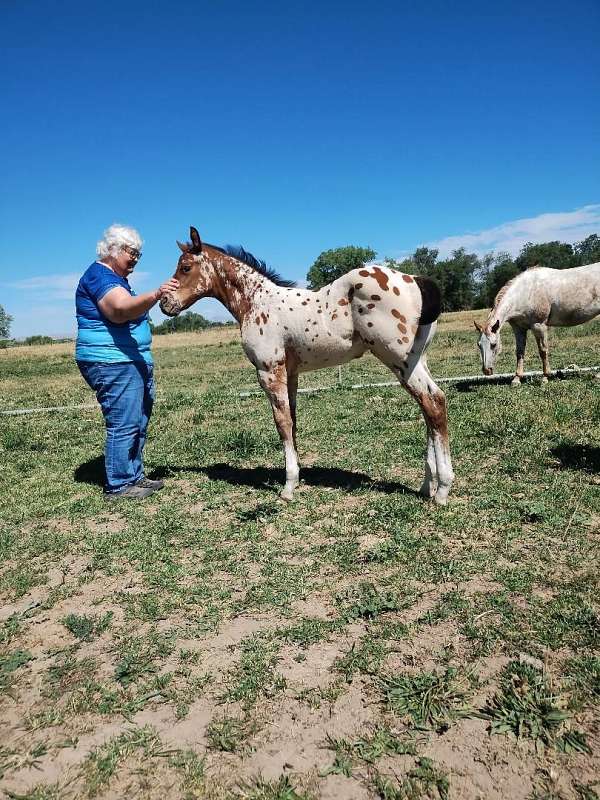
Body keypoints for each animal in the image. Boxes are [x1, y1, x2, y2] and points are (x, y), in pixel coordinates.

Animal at [159, 225, 454, 504]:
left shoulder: (269, 371)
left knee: (433, 402)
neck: (256, 301)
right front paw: (297, 477)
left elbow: (282, 423)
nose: (164, 303)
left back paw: (442, 490)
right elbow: (293, 421)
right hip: (417, 359)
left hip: (398, 358)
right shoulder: (291, 374)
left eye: (185, 267)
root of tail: (415, 280)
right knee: (429, 408)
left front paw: (288, 486)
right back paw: (428, 486)